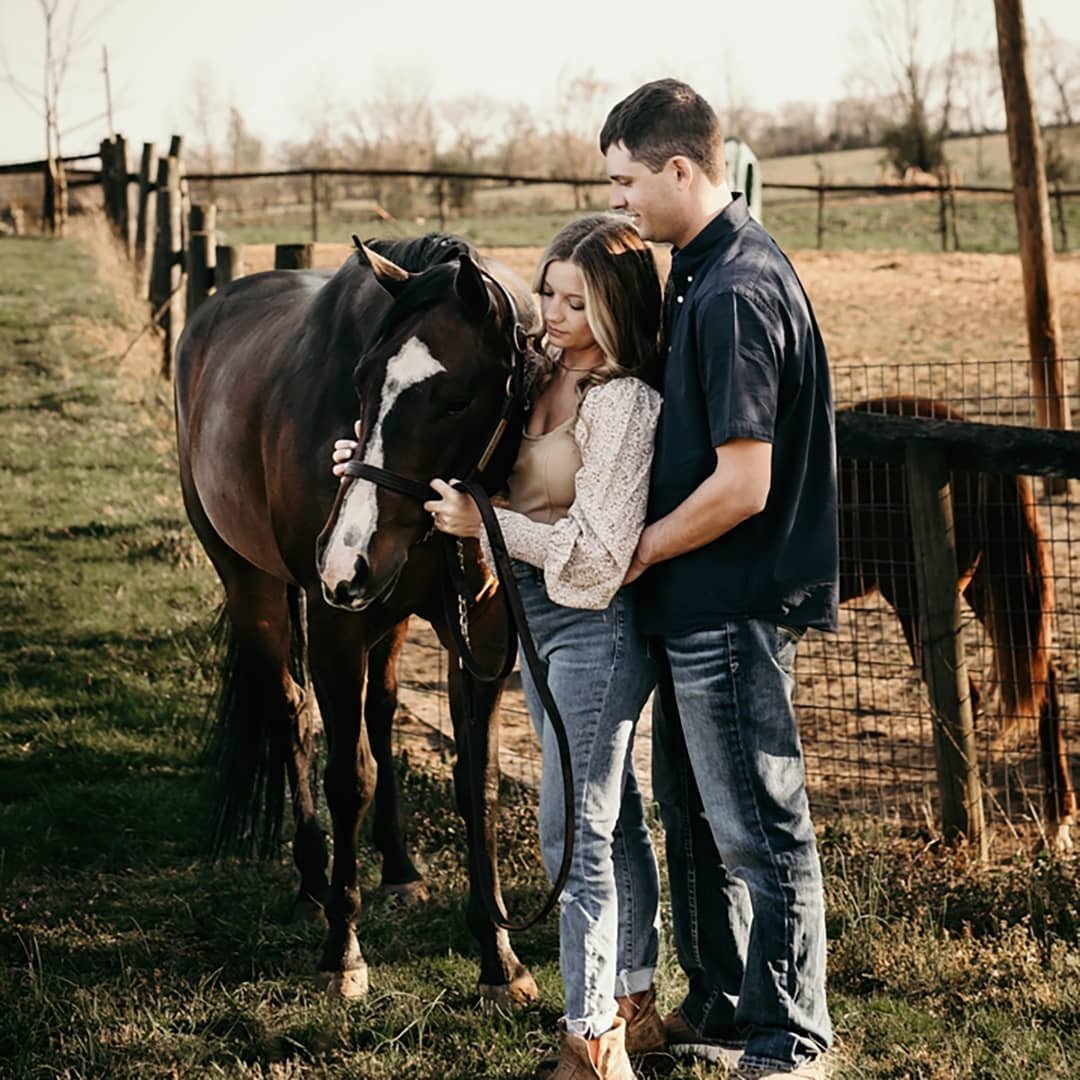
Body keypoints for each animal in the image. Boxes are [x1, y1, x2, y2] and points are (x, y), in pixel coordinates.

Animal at [177, 232, 544, 997]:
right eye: (363, 383)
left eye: (456, 400)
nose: (343, 559)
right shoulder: (337, 631)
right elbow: (349, 779)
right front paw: (342, 951)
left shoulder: (480, 636)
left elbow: (479, 785)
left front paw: (499, 957)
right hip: (254, 586)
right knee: (291, 715)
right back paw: (312, 883)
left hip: (386, 615)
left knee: (382, 708)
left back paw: (399, 869)